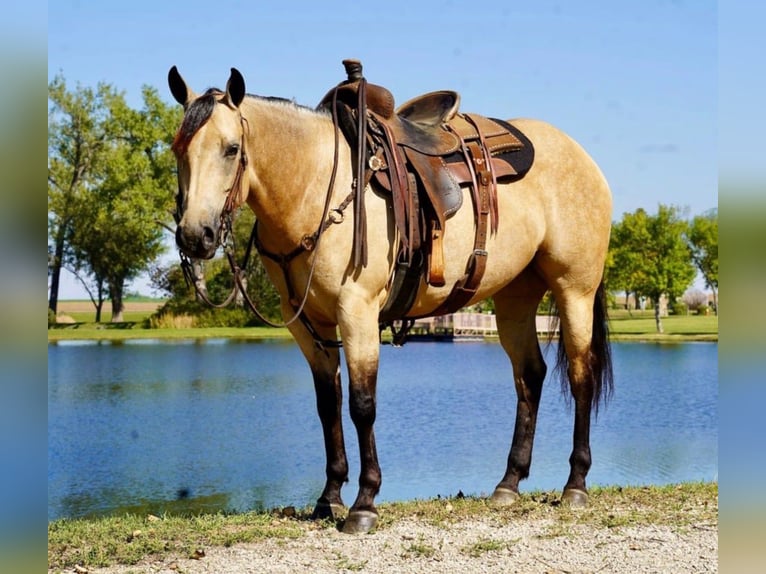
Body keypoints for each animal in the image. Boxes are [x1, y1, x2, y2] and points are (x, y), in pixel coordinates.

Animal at [167, 64, 614, 534]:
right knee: (530, 376)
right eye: (178, 148)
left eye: (232, 148)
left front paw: (364, 503)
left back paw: (575, 484)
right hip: (515, 298)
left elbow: (362, 405)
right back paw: (508, 483)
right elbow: (328, 405)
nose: (195, 236)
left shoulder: (357, 310)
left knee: (581, 375)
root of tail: (583, 158)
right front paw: (329, 497)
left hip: (575, 289)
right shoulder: (308, 324)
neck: (313, 186)